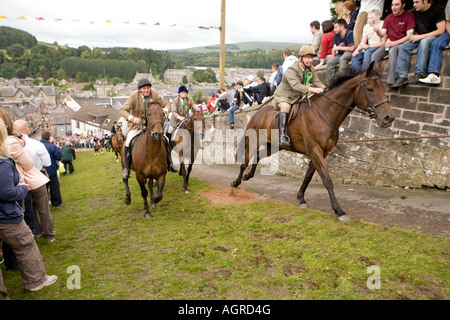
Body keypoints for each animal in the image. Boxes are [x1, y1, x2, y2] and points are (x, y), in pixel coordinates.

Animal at [232, 62, 394, 222]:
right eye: (370, 89)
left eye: (383, 89)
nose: (389, 118)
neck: (324, 114)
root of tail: (257, 113)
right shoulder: (315, 151)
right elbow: (327, 180)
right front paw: (339, 210)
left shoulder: (321, 153)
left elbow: (308, 177)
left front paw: (301, 199)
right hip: (253, 142)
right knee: (244, 162)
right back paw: (236, 182)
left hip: (273, 146)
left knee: (258, 157)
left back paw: (248, 176)